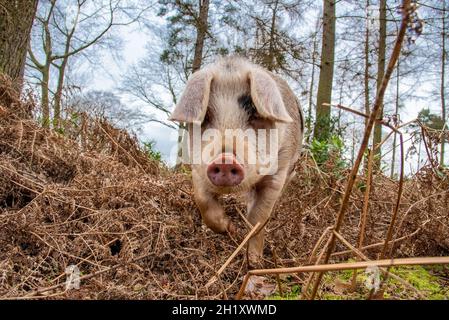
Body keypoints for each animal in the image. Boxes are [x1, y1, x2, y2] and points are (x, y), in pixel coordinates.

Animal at [170, 56, 302, 266]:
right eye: (206, 116)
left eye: (255, 113)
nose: (225, 159)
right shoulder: (197, 167)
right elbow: (204, 202)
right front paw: (230, 229)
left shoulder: (279, 172)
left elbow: (258, 218)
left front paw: (254, 262)